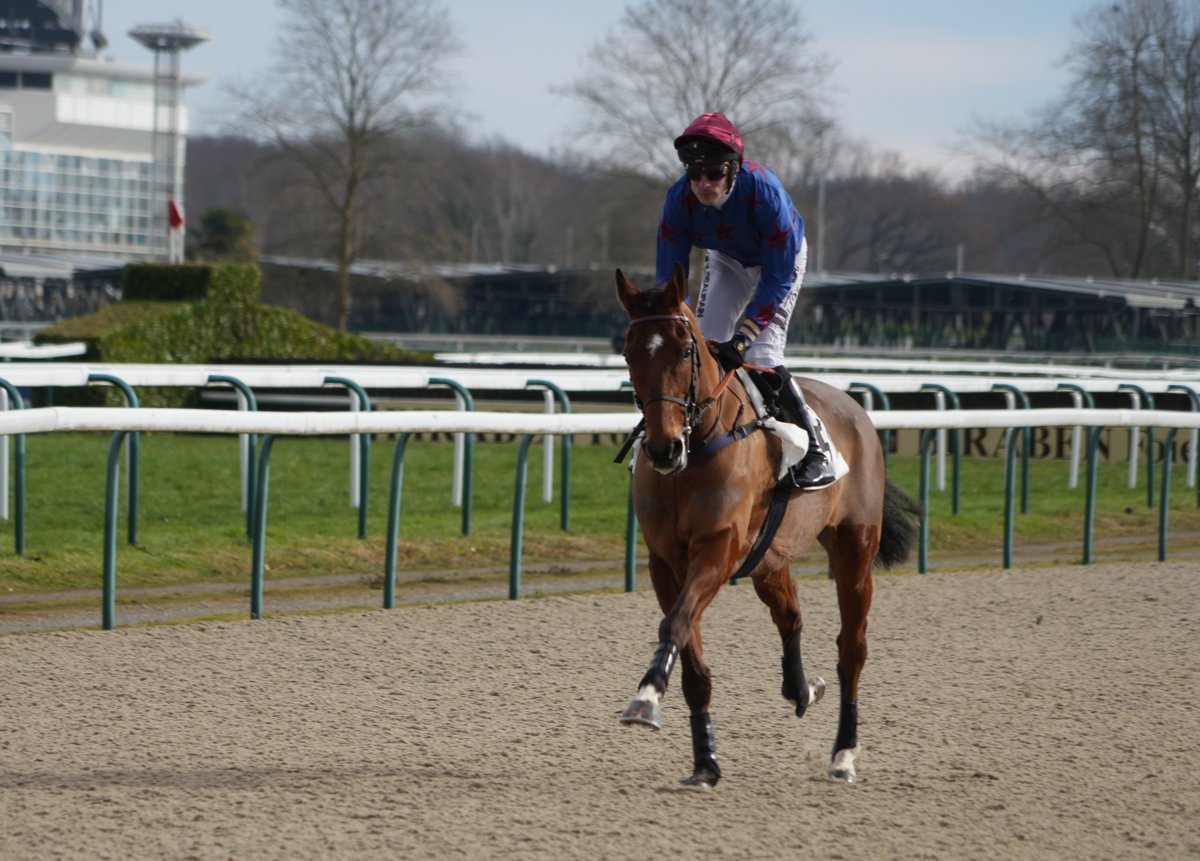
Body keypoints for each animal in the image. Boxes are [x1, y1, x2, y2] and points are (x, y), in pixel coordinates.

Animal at [615, 265, 921, 788]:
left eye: (684, 349)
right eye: (631, 351)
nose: (661, 448)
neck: (701, 446)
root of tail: (854, 408)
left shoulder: (718, 547)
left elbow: (675, 622)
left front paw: (647, 697)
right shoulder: (666, 561)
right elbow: (688, 647)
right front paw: (705, 761)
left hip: (854, 549)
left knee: (852, 650)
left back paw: (843, 754)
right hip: (770, 557)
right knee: (790, 614)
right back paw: (802, 689)